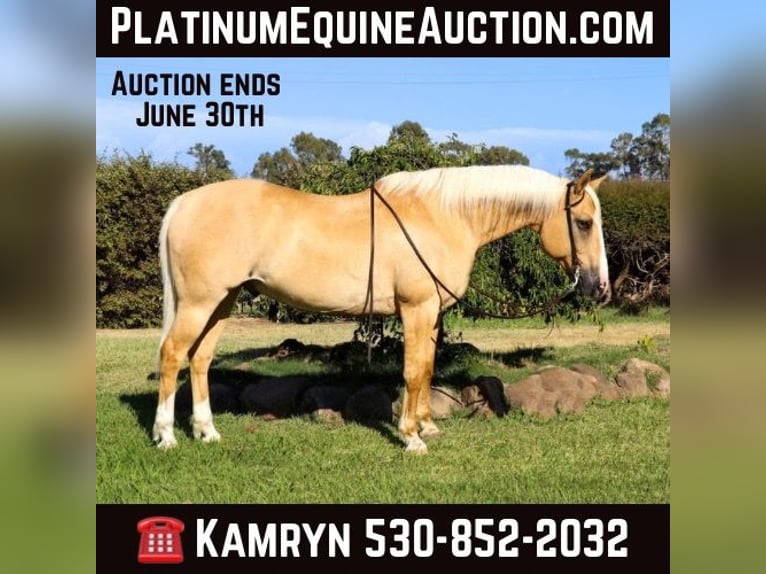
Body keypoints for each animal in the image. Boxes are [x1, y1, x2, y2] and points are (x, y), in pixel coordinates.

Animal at [152, 165, 610, 454]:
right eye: (584, 223)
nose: (600, 288)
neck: (443, 217)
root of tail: (182, 203)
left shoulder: (432, 314)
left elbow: (427, 368)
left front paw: (428, 425)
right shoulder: (416, 309)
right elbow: (412, 372)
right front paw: (411, 437)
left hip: (222, 302)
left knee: (200, 359)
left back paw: (206, 431)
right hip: (200, 303)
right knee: (173, 355)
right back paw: (166, 435)